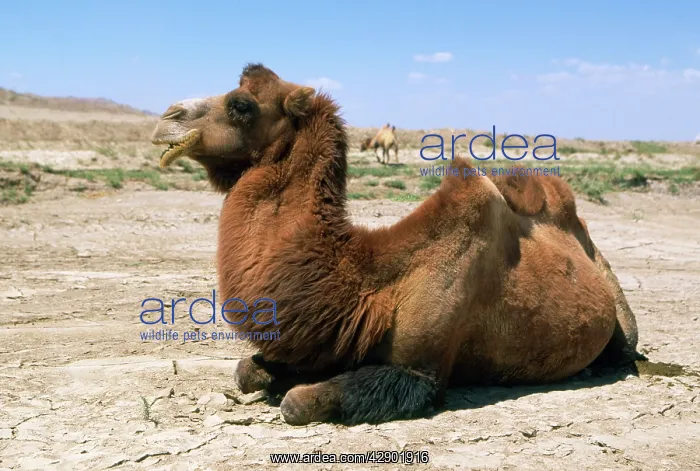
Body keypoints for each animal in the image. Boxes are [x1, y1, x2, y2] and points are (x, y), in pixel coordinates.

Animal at [151, 63, 640, 426]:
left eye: (241, 105)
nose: (166, 117)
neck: (369, 283)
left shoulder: (420, 372)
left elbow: (297, 403)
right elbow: (245, 371)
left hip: (618, 306)